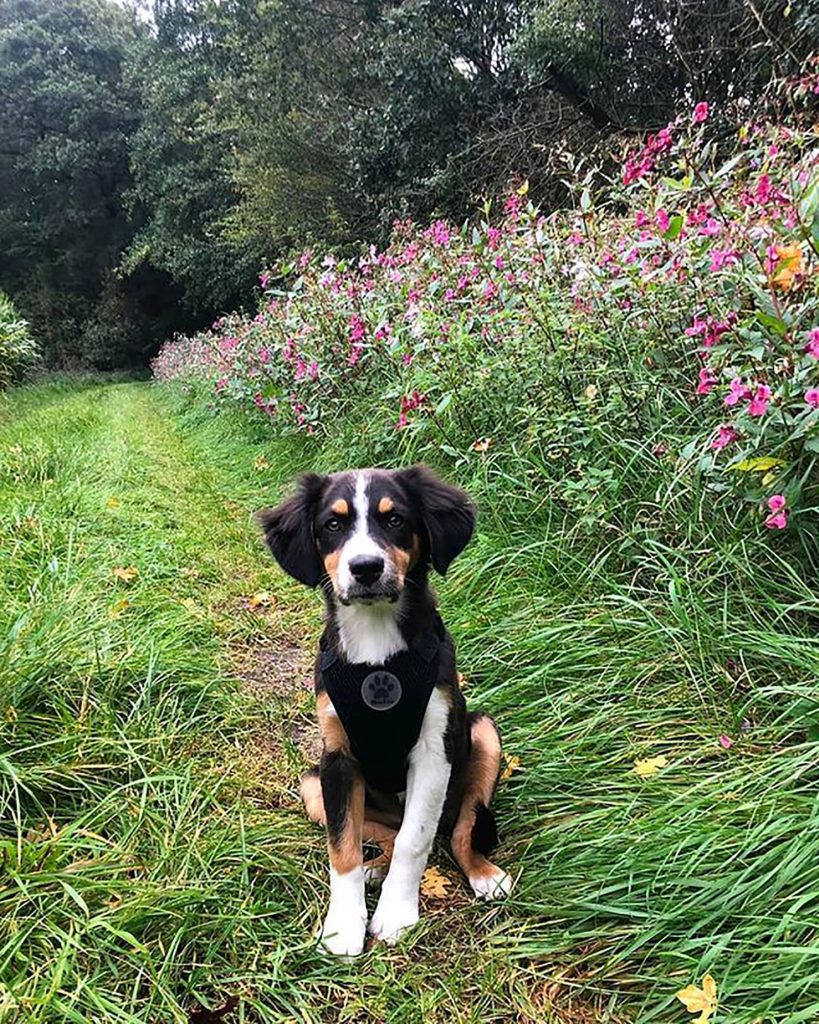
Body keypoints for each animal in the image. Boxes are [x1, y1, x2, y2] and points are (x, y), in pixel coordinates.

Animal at [259, 468, 511, 954]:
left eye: (394, 519)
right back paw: (375, 868)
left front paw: (396, 914)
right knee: (383, 835)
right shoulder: (337, 759)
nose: (365, 568)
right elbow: (342, 848)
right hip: (310, 785)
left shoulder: (434, 751)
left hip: (483, 733)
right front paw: (342, 927)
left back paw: (483, 873)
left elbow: (417, 840)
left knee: (458, 829)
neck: (376, 652)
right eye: (333, 525)